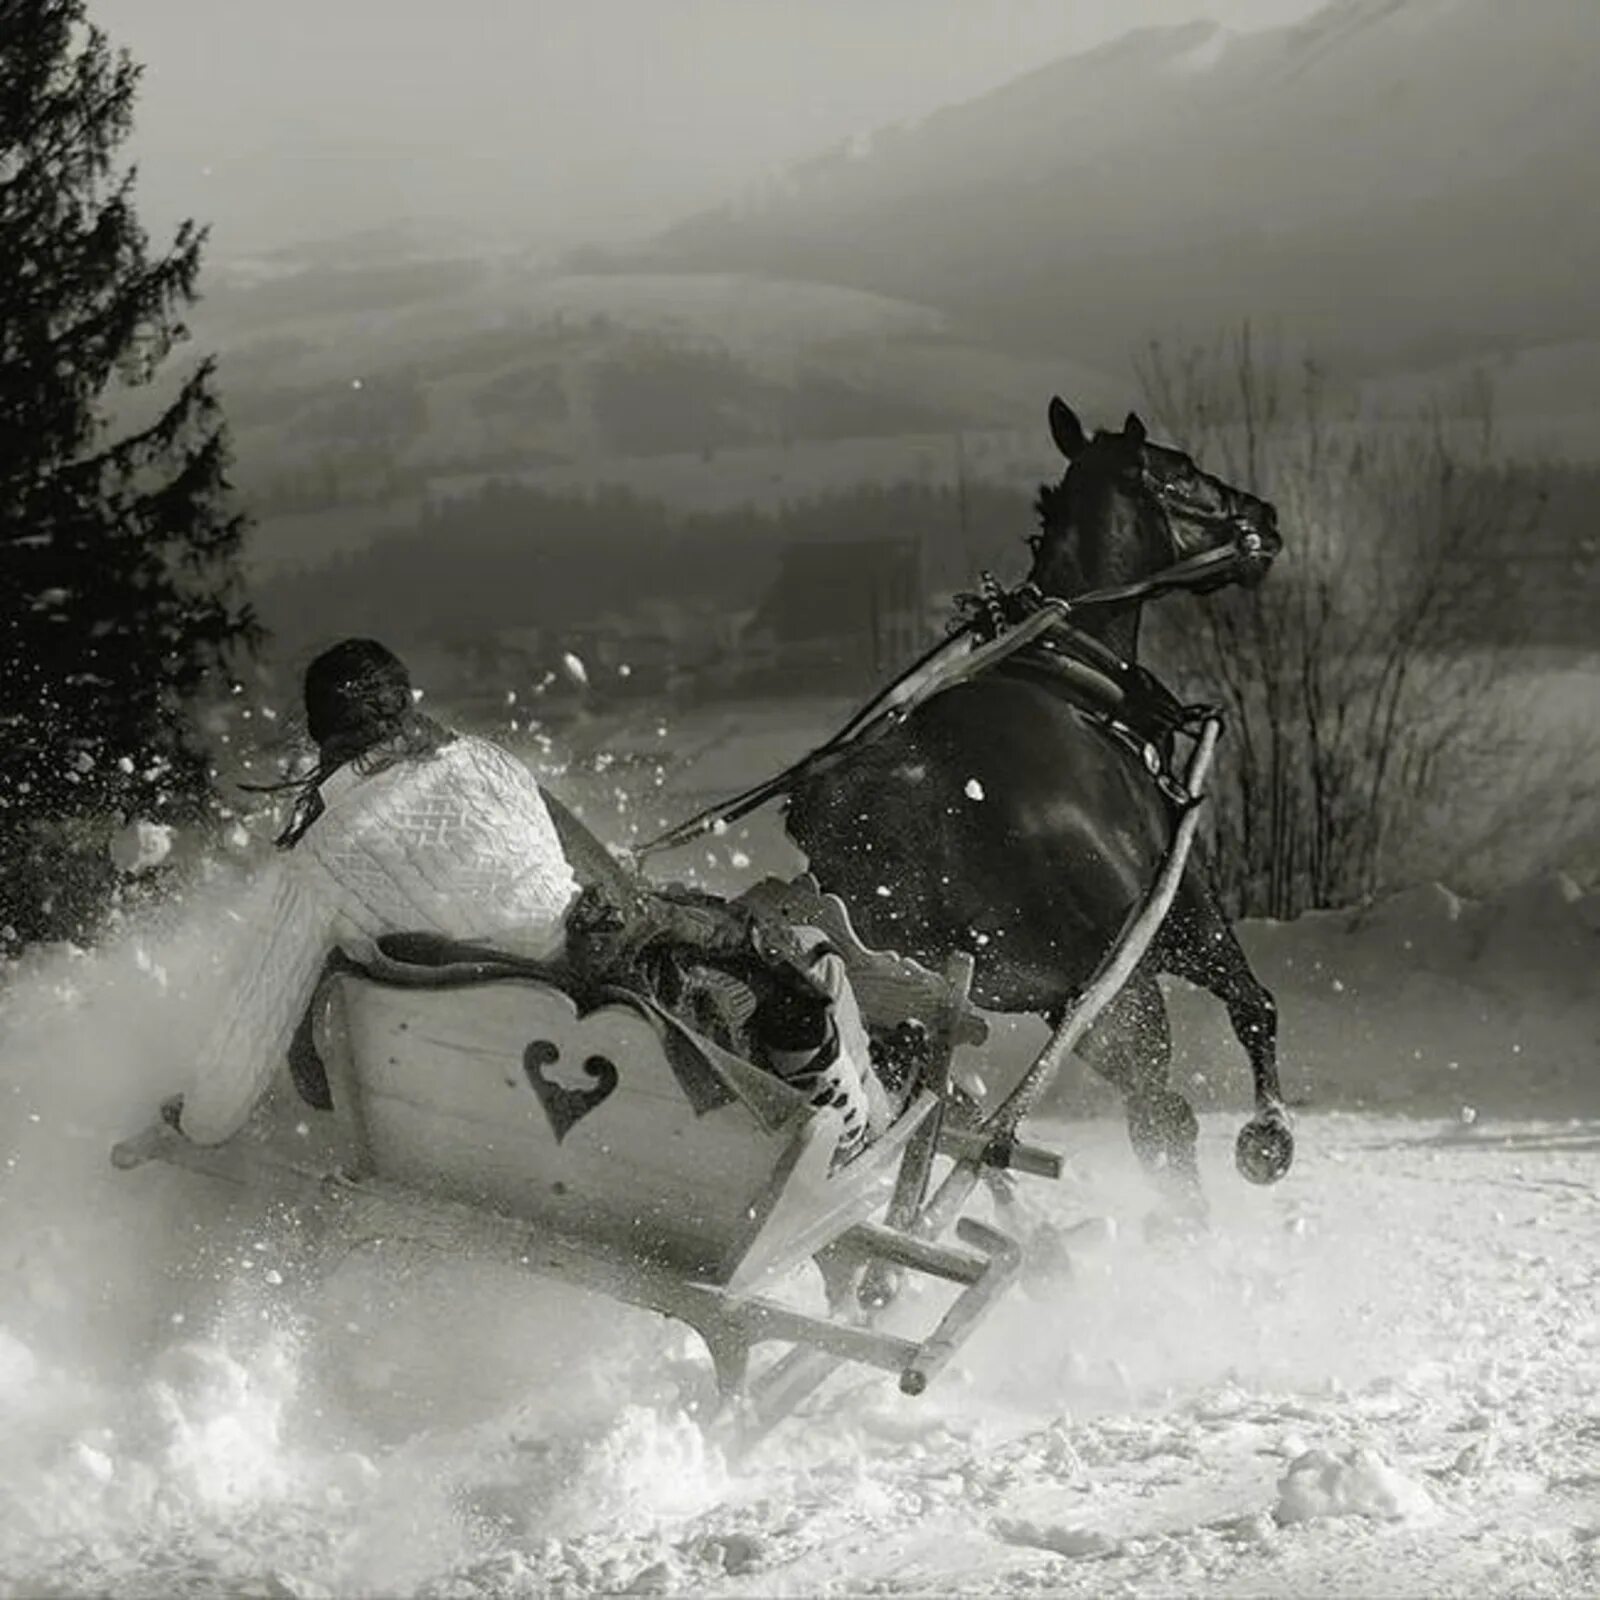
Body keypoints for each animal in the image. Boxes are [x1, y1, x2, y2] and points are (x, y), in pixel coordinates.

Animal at [787, 400, 1299, 1222]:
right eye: (1184, 471)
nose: (1264, 517)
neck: (1074, 669)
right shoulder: (1179, 911)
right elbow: (1255, 1005)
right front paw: (1267, 1140)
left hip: (951, 997)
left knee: (946, 1118)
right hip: (1113, 990)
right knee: (1159, 1113)